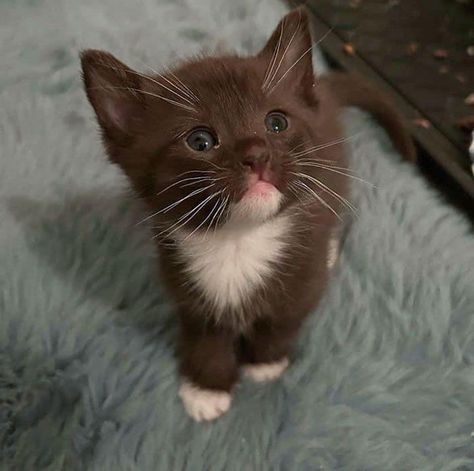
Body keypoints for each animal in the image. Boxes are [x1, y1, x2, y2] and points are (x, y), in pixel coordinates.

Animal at [81, 7, 414, 422]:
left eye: (276, 122)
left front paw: (264, 364)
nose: (257, 154)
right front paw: (206, 388)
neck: (238, 241)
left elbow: (283, 320)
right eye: (200, 140)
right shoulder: (184, 285)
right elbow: (204, 336)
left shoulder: (302, 277)